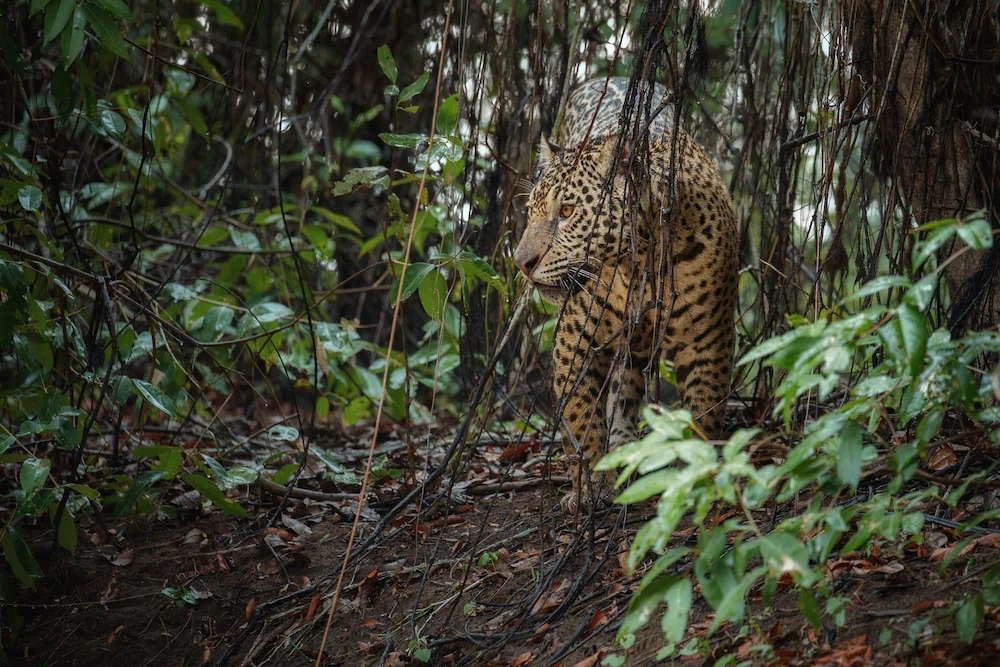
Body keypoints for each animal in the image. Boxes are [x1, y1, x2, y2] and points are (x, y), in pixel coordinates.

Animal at [512, 76, 739, 513]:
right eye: (531, 212)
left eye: (567, 212)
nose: (521, 263)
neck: (645, 258)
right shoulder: (574, 339)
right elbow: (581, 420)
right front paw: (590, 489)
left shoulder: (708, 339)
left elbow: (703, 411)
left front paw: (698, 476)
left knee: (626, 386)